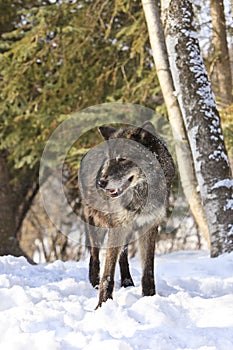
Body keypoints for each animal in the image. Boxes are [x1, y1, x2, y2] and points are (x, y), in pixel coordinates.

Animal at [78, 121, 175, 308]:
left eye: (122, 158)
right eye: (109, 158)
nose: (100, 183)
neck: (141, 194)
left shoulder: (149, 226)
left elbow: (148, 271)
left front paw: (149, 297)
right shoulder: (117, 226)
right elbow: (108, 273)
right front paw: (102, 306)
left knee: (122, 255)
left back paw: (127, 282)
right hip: (97, 226)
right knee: (94, 255)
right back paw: (94, 282)